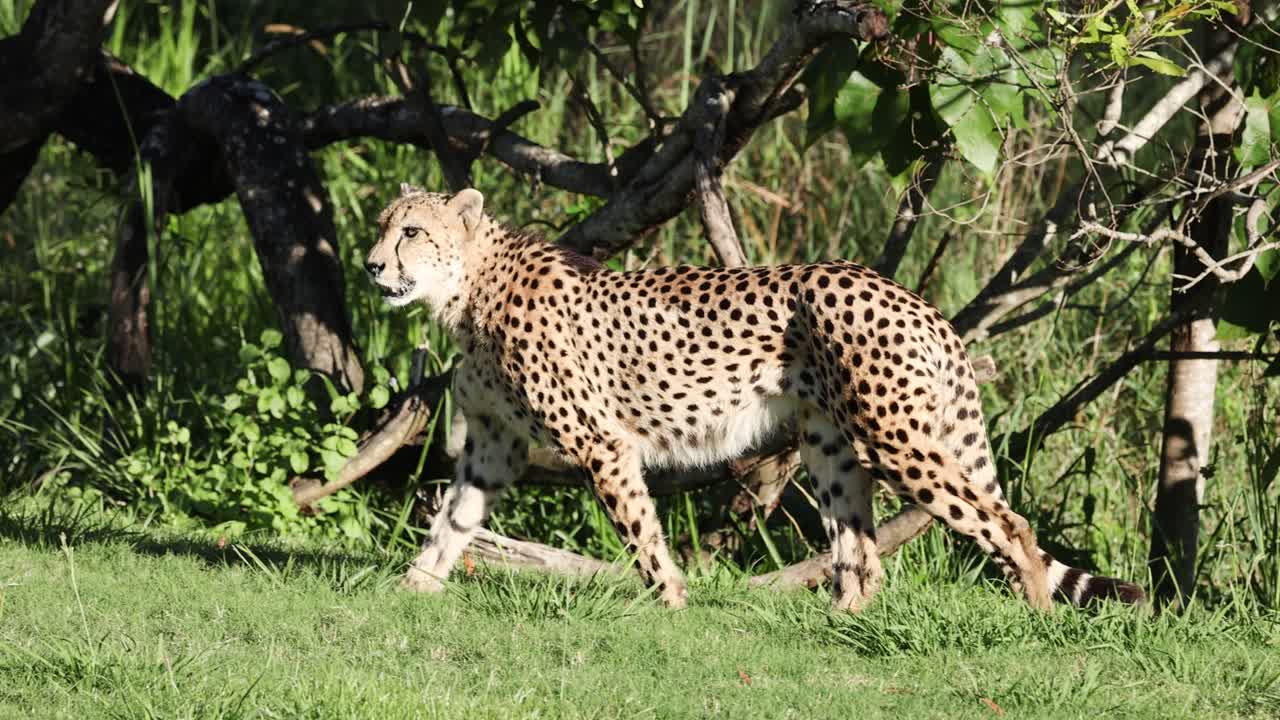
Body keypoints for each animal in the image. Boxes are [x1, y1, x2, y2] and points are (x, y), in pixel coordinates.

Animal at [364, 184, 1145, 612]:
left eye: (412, 230)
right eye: (381, 226)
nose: (370, 265)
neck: (467, 290)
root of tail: (911, 297)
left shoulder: (599, 443)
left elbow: (641, 532)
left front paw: (672, 607)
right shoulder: (494, 443)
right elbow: (455, 519)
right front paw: (412, 588)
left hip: (897, 439)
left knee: (1009, 524)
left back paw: (1036, 617)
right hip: (830, 442)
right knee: (862, 551)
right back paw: (840, 621)